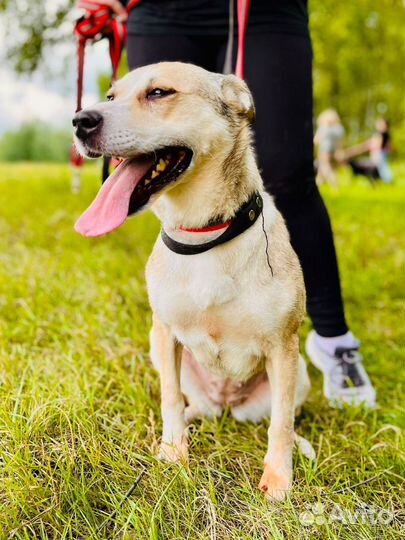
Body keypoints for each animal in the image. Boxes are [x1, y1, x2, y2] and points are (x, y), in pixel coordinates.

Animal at [72, 61, 310, 500]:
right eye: (111, 96)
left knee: (283, 415)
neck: (204, 234)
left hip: (298, 372)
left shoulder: (282, 347)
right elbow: (168, 398)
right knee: (189, 403)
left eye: (159, 93)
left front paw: (279, 479)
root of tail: (225, 403)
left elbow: (281, 423)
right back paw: (192, 419)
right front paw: (173, 452)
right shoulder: (165, 334)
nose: (80, 121)